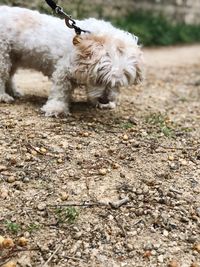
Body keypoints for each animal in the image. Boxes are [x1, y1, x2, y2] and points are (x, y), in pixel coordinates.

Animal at [0, 5, 144, 116]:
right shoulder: (64, 71)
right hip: (3, 57)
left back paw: (13, 92)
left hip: (13, 57)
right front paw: (56, 108)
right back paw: (3, 96)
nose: (104, 100)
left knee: (9, 76)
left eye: (118, 84)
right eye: (98, 79)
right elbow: (60, 91)